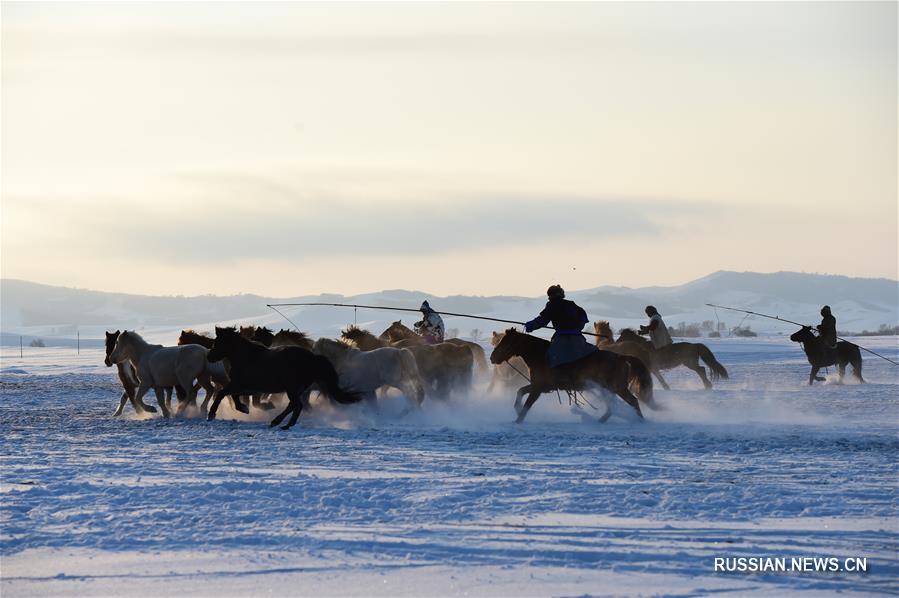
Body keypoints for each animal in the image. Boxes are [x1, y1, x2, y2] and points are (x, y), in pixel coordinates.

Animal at [206, 328, 364, 432]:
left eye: (219, 342)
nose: (209, 357)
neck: (246, 357)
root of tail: (313, 357)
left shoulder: (240, 385)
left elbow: (222, 393)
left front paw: (212, 414)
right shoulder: (247, 388)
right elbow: (233, 396)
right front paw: (244, 408)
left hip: (292, 388)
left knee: (297, 405)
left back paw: (284, 425)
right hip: (296, 389)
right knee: (293, 405)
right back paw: (277, 422)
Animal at [492, 330, 652, 424]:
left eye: (506, 342)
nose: (492, 357)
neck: (540, 355)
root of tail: (621, 357)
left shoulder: (538, 388)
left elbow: (527, 404)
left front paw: (519, 419)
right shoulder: (537, 386)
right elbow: (520, 392)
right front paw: (517, 410)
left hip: (617, 387)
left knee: (633, 401)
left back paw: (640, 421)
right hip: (607, 388)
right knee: (613, 406)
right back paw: (600, 420)